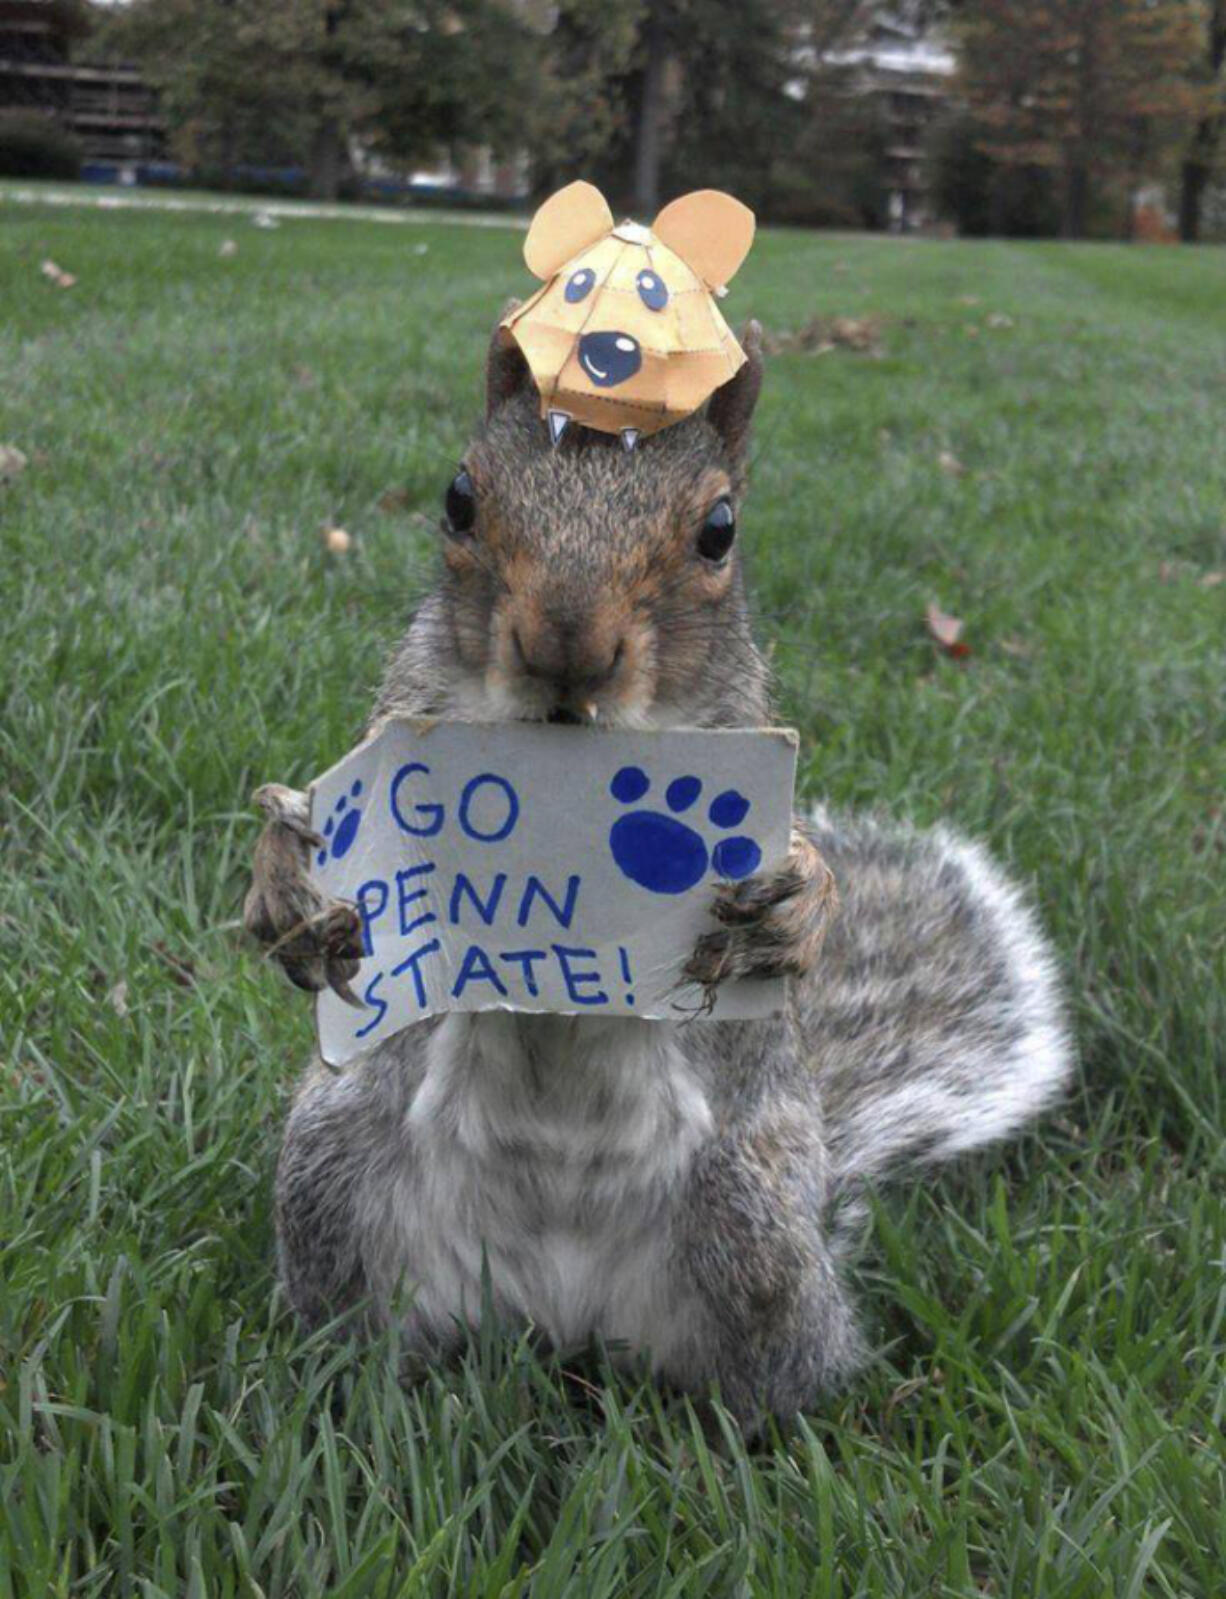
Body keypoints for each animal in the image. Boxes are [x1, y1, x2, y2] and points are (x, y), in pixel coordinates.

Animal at [244, 315, 1067, 1439]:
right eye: (458, 497)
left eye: (719, 529)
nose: (565, 645)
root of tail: (554, 1309)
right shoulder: (399, 722)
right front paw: (288, 879)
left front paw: (800, 903)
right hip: (329, 1178)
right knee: (366, 1330)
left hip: (753, 1233)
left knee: (771, 1377)